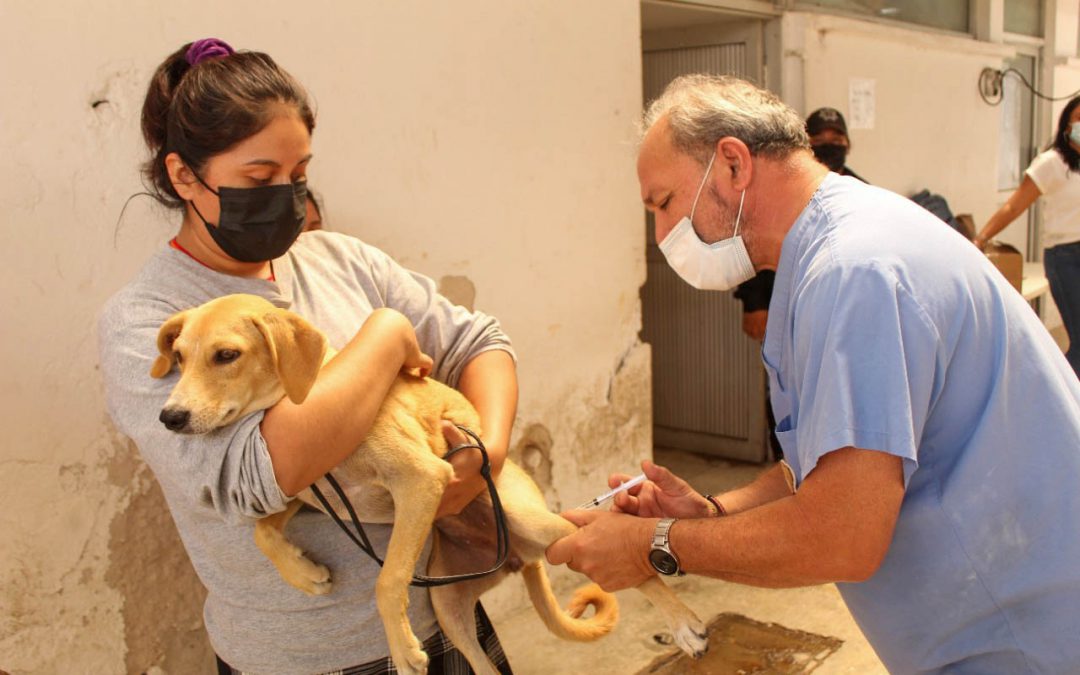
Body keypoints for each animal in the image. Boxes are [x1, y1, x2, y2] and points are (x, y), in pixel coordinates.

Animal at [152, 293, 708, 673]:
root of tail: (517, 559)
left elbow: (387, 579)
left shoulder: (421, 479)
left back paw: (685, 623)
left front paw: (401, 648)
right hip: (449, 604)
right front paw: (305, 574)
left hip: (539, 523)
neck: (312, 398)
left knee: (636, 568)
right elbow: (261, 530)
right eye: (178, 357)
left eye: (226, 355)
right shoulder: (302, 492)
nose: (168, 417)